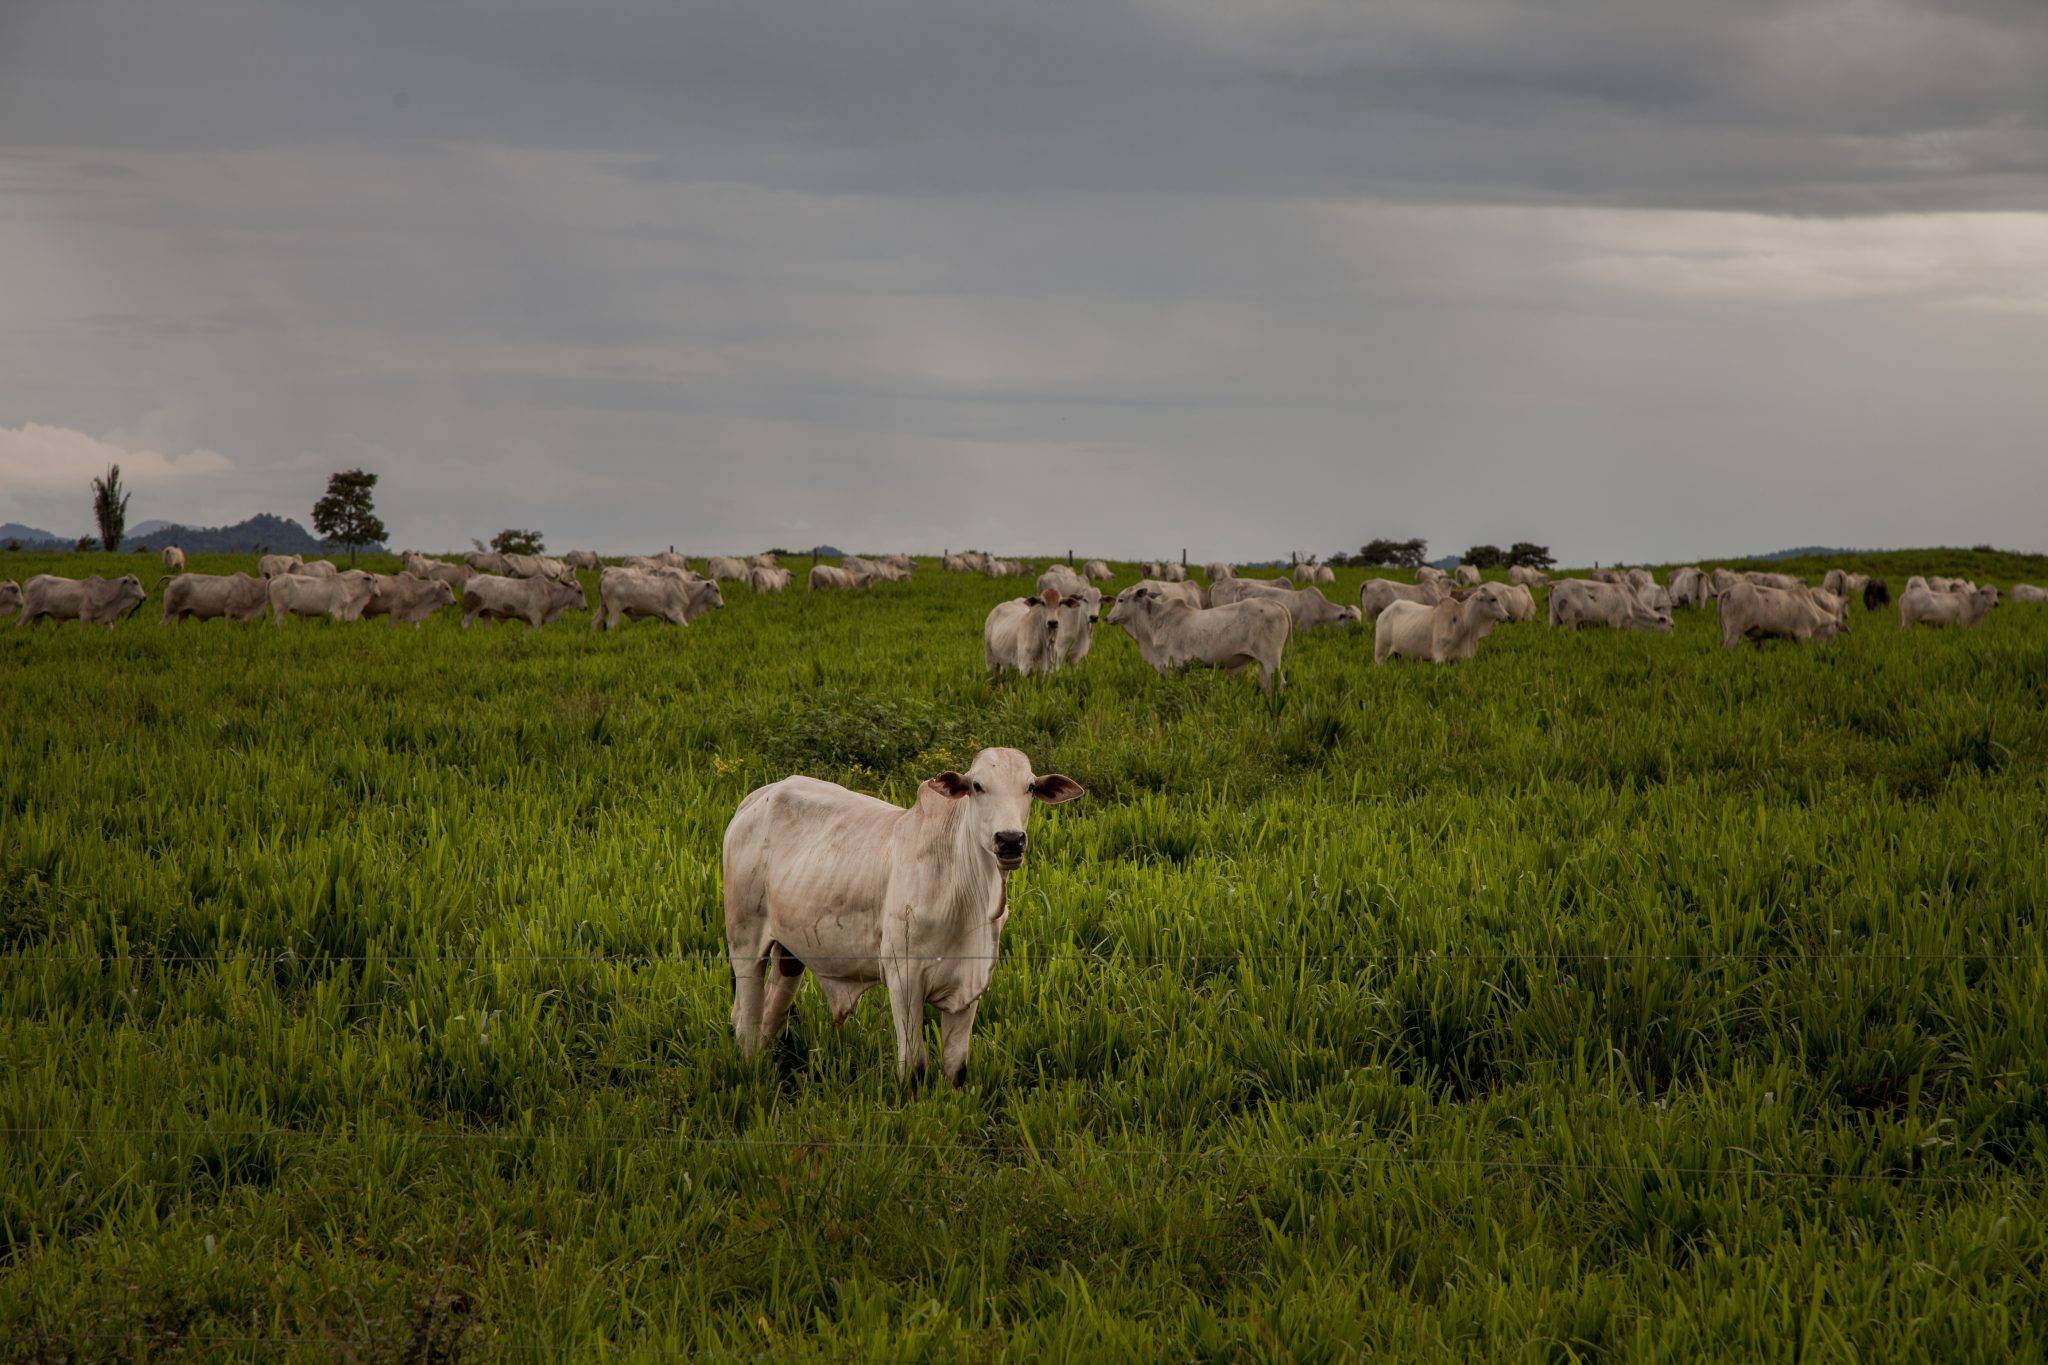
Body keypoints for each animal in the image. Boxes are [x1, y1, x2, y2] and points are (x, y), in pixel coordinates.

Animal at [15, 574, 146, 627]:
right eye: (135, 582)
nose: (144, 597)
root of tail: (31, 580)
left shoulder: (106, 619)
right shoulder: (84, 616)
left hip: (39, 615)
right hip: (28, 611)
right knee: (17, 625)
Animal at [592, 567, 723, 629]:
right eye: (716, 590)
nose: (722, 605)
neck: (685, 589)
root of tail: (606, 573)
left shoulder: (665, 619)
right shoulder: (676, 614)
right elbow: (686, 627)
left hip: (604, 607)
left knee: (595, 621)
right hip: (615, 609)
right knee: (611, 625)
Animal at [723, 748, 1082, 1084]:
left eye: (1030, 787)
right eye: (977, 786)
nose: (1010, 840)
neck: (965, 894)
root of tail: (757, 798)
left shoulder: (971, 984)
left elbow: (956, 1068)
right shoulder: (904, 979)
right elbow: (914, 1067)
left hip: (791, 951)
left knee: (772, 1013)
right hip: (745, 942)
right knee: (746, 1022)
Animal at [1107, 585, 1290, 693]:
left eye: (1120, 600)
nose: (1107, 618)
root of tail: (1276, 604)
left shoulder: (1173, 666)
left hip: (1271, 659)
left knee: (1279, 684)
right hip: (1264, 663)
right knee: (1266, 684)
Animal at [1374, 590, 1511, 664]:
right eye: (1493, 599)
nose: (1508, 616)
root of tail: (1383, 613)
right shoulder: (1439, 656)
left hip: (1399, 655)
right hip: (1380, 654)